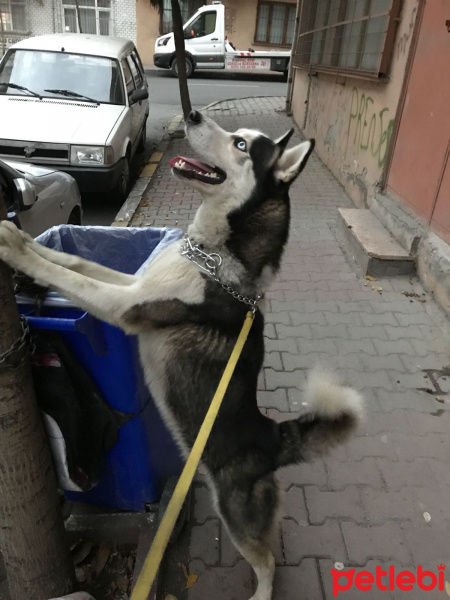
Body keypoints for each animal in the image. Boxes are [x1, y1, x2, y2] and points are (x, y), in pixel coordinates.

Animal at [0, 112, 362, 600]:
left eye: (242, 144)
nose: (192, 114)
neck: (213, 255)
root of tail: (272, 437)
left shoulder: (124, 306)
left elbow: (71, 277)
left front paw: (14, 249)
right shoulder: (134, 285)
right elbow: (72, 262)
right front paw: (29, 239)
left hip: (234, 514)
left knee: (268, 562)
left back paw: (261, 592)